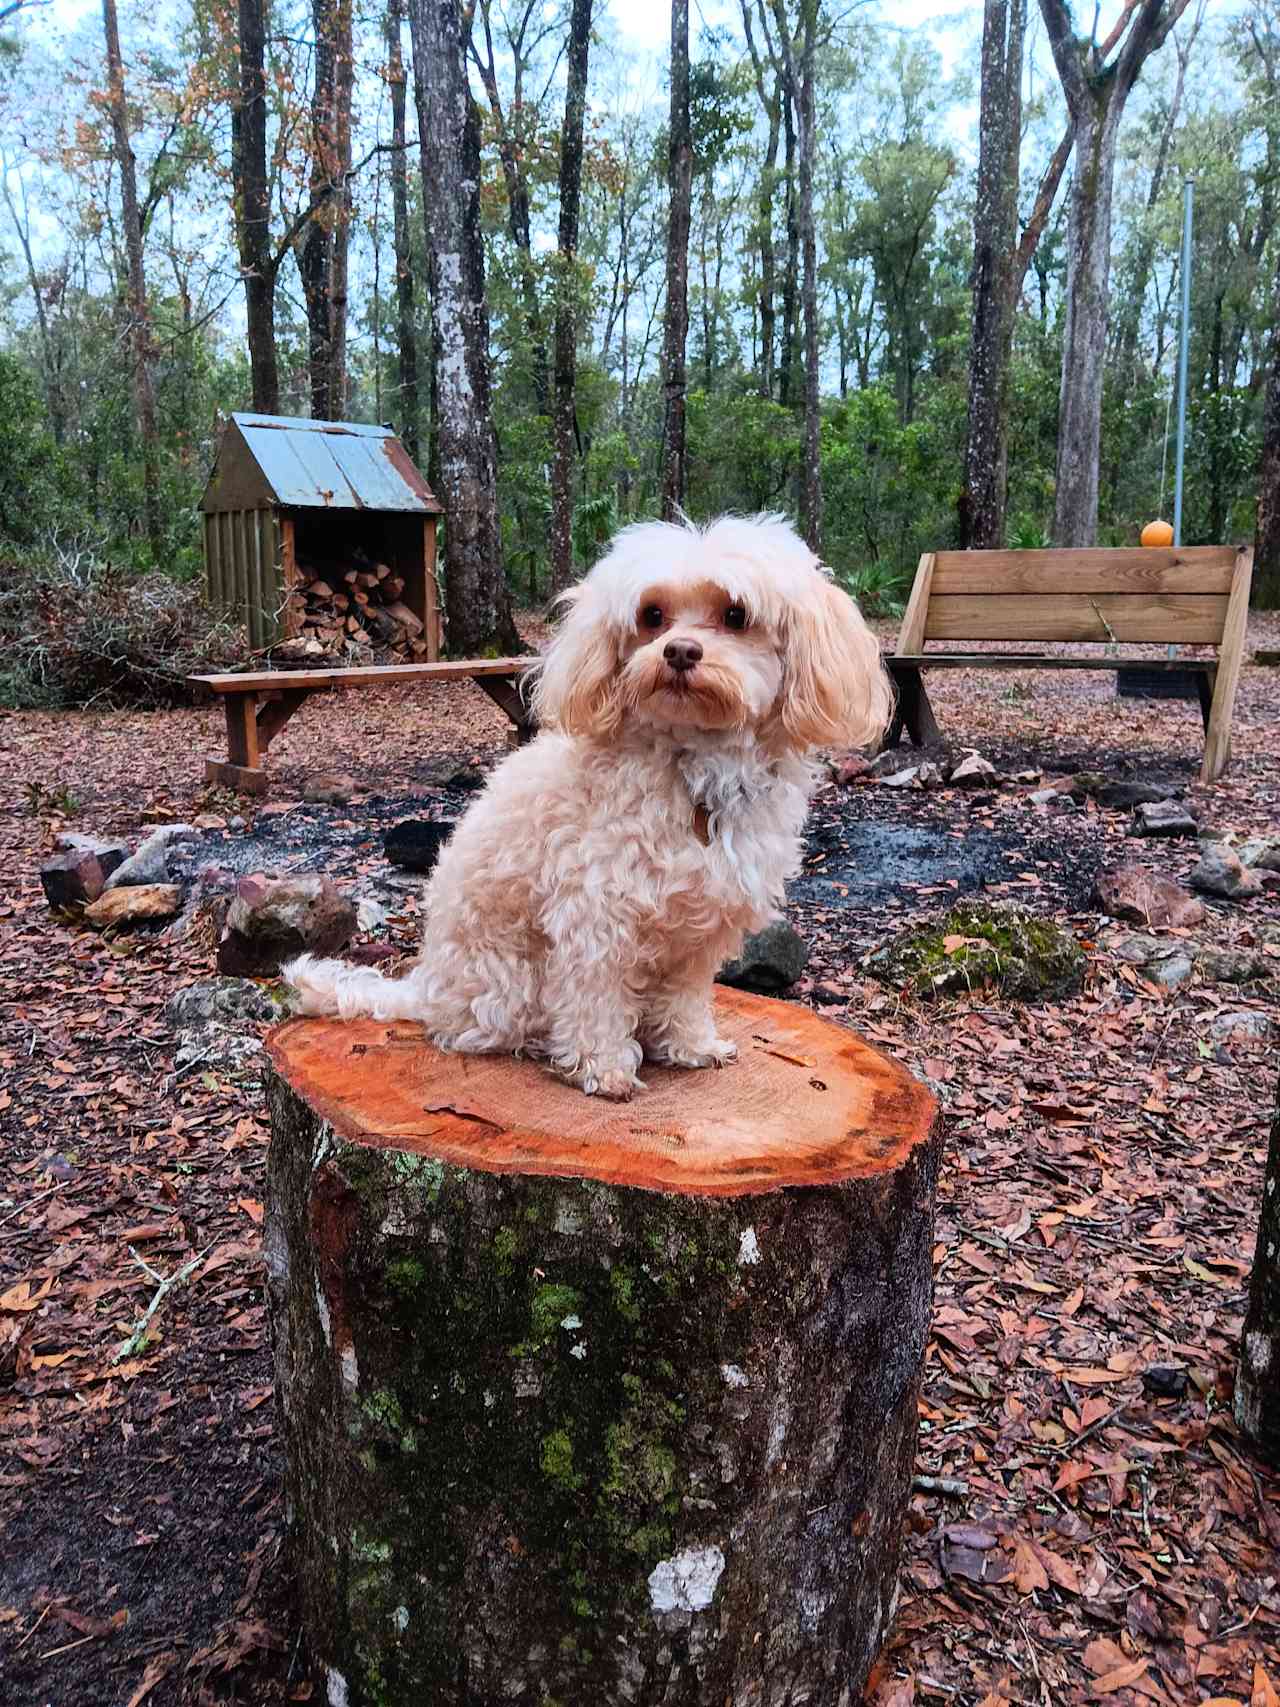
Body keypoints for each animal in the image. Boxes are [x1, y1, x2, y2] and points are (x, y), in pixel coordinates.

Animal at [288, 512, 894, 1099]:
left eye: (736, 614)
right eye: (652, 614)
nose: (679, 651)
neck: (691, 769)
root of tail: (426, 988)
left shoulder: (702, 930)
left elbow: (685, 995)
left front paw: (691, 1045)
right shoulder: (596, 915)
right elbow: (595, 1000)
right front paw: (603, 1069)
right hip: (509, 981)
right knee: (483, 1030)